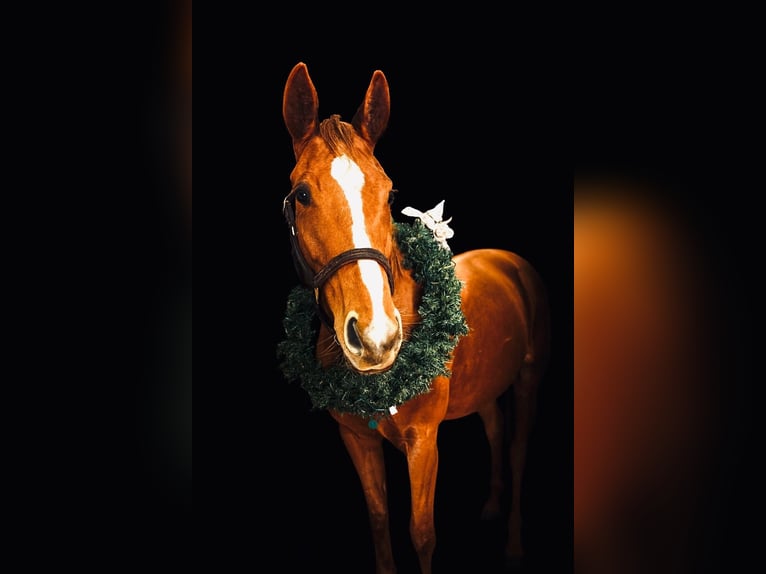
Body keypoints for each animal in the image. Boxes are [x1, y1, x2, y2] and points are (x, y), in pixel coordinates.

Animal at [278, 62, 550, 574]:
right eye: (301, 194)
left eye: (388, 194)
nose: (376, 337)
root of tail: (509, 259)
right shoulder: (356, 440)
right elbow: (380, 520)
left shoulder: (423, 441)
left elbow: (422, 533)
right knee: (494, 428)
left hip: (528, 378)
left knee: (520, 451)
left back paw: (513, 544)